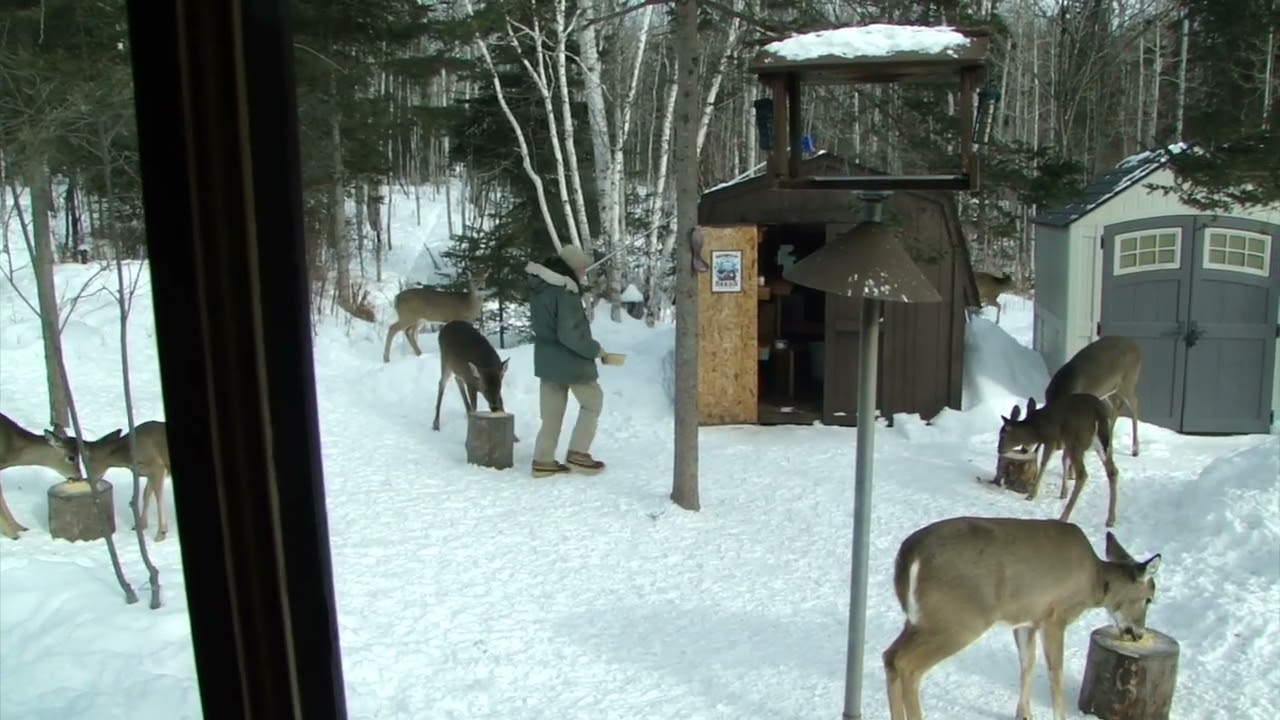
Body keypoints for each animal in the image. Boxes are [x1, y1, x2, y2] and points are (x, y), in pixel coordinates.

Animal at [883, 516, 1162, 720]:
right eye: (1150, 598)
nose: (1137, 633)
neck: (1093, 583)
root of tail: (908, 556)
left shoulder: (1026, 619)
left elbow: (1027, 662)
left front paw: (1024, 714)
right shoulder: (1055, 615)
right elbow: (1055, 672)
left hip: (920, 620)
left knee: (890, 656)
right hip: (959, 620)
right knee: (908, 665)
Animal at [999, 392, 1121, 527]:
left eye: (1002, 435)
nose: (999, 449)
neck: (1036, 427)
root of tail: (1099, 413)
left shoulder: (1052, 439)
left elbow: (1044, 462)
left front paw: (1032, 495)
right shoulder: (1064, 443)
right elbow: (1064, 461)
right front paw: (1064, 492)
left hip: (1076, 442)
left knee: (1083, 474)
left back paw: (1063, 517)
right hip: (1105, 444)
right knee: (1113, 471)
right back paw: (1110, 519)